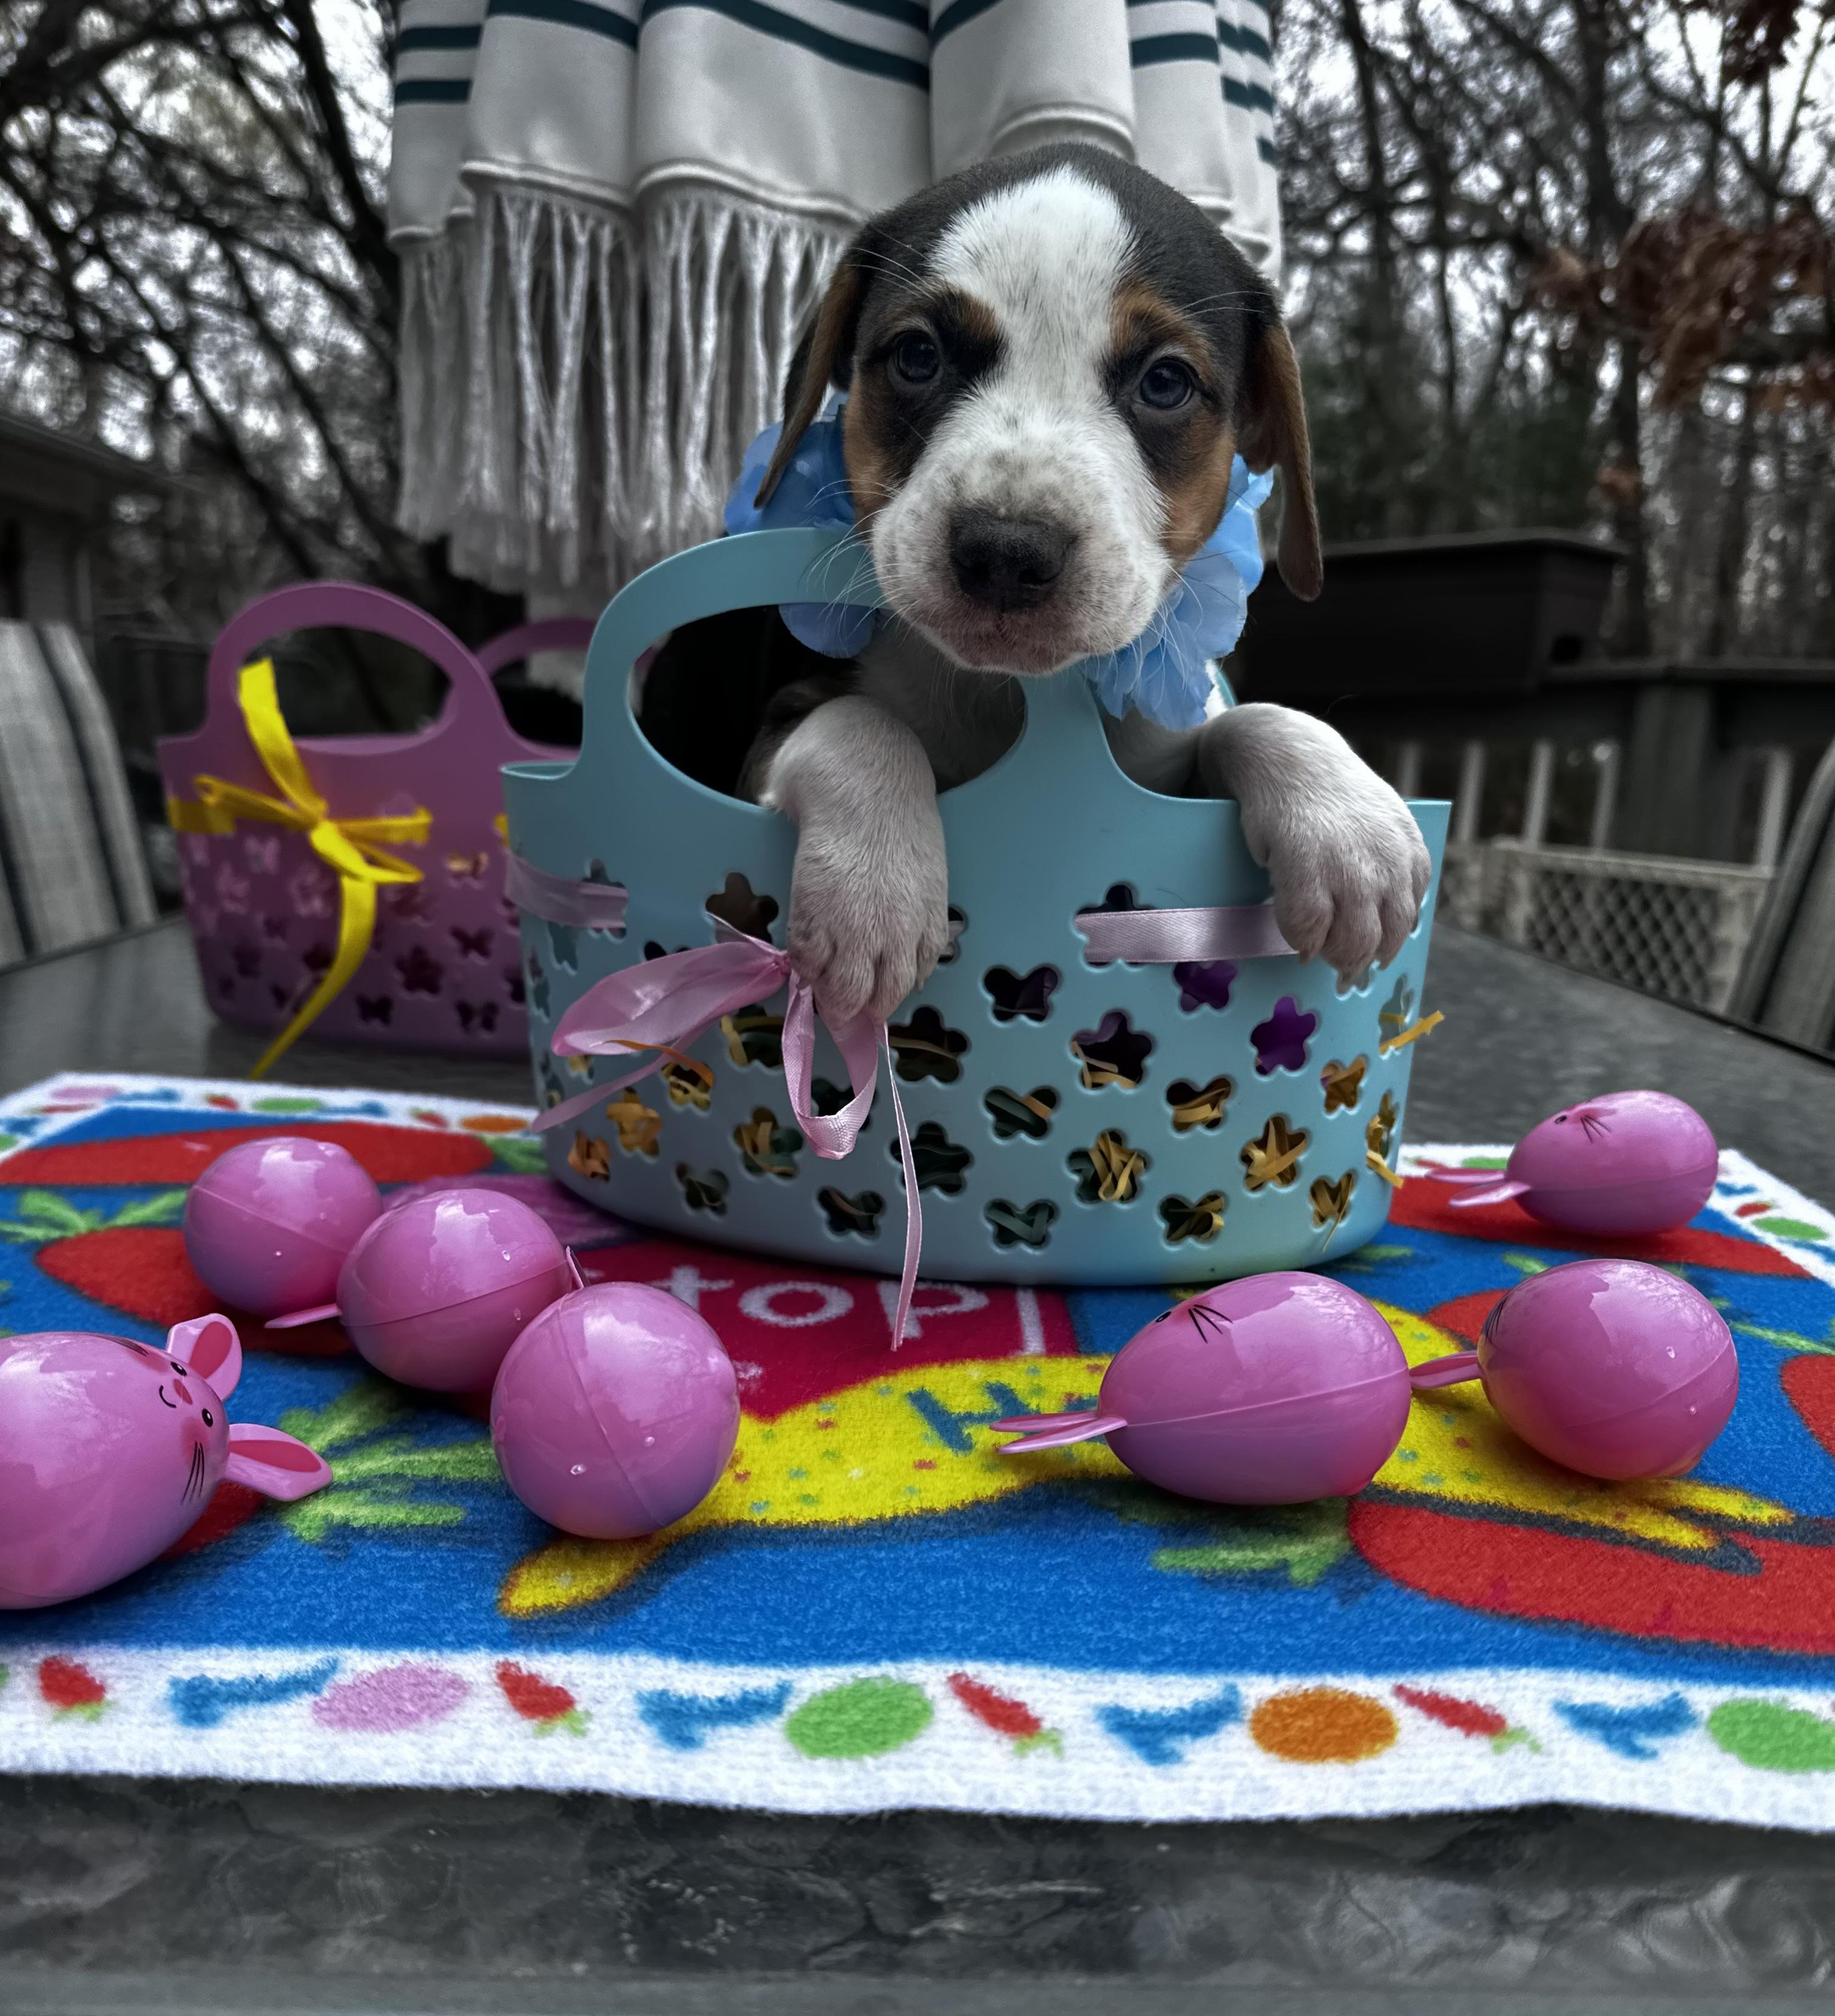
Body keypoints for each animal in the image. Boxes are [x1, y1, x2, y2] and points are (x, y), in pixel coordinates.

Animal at [639, 144, 1430, 1024]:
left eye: (1166, 382)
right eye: (918, 356)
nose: (1007, 550)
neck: (998, 693)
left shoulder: (1162, 779)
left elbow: (1253, 719)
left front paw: (1350, 827)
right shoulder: (759, 747)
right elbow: (859, 721)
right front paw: (872, 892)